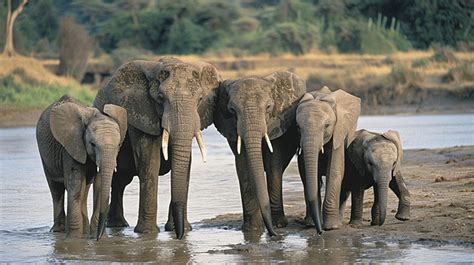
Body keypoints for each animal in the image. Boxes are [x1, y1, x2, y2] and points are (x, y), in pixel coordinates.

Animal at [35, 95, 127, 239]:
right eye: (92, 144)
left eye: (118, 145)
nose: (97, 238)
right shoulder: (71, 145)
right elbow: (75, 183)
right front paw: (74, 240)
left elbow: (99, 184)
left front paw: (99, 238)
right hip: (45, 155)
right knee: (56, 190)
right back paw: (58, 231)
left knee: (85, 189)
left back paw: (84, 231)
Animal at [93, 56, 221, 238]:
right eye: (160, 98)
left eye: (200, 99)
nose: (179, 236)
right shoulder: (140, 115)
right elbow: (149, 159)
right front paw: (147, 233)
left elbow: (185, 162)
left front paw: (179, 229)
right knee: (119, 179)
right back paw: (117, 226)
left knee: (120, 181)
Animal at [214, 71, 306, 234]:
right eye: (232, 110)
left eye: (268, 107)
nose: (273, 234)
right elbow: (243, 165)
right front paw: (252, 229)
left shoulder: (278, 124)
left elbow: (274, 163)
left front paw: (279, 225)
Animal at [294, 86, 362, 231]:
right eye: (298, 127)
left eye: (326, 126)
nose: (319, 232)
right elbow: (306, 174)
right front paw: (311, 224)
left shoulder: (338, 133)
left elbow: (335, 171)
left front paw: (331, 227)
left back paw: (339, 222)